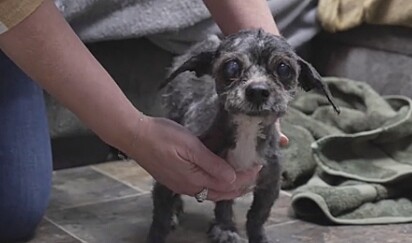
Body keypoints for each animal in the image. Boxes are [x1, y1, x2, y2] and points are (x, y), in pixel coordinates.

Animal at [148, 29, 338, 243]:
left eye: (284, 68)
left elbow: (256, 218)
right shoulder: (171, 173)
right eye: (231, 67)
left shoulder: (269, 185)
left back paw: (224, 227)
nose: (258, 91)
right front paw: (159, 231)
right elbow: (160, 219)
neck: (247, 131)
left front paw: (252, 236)